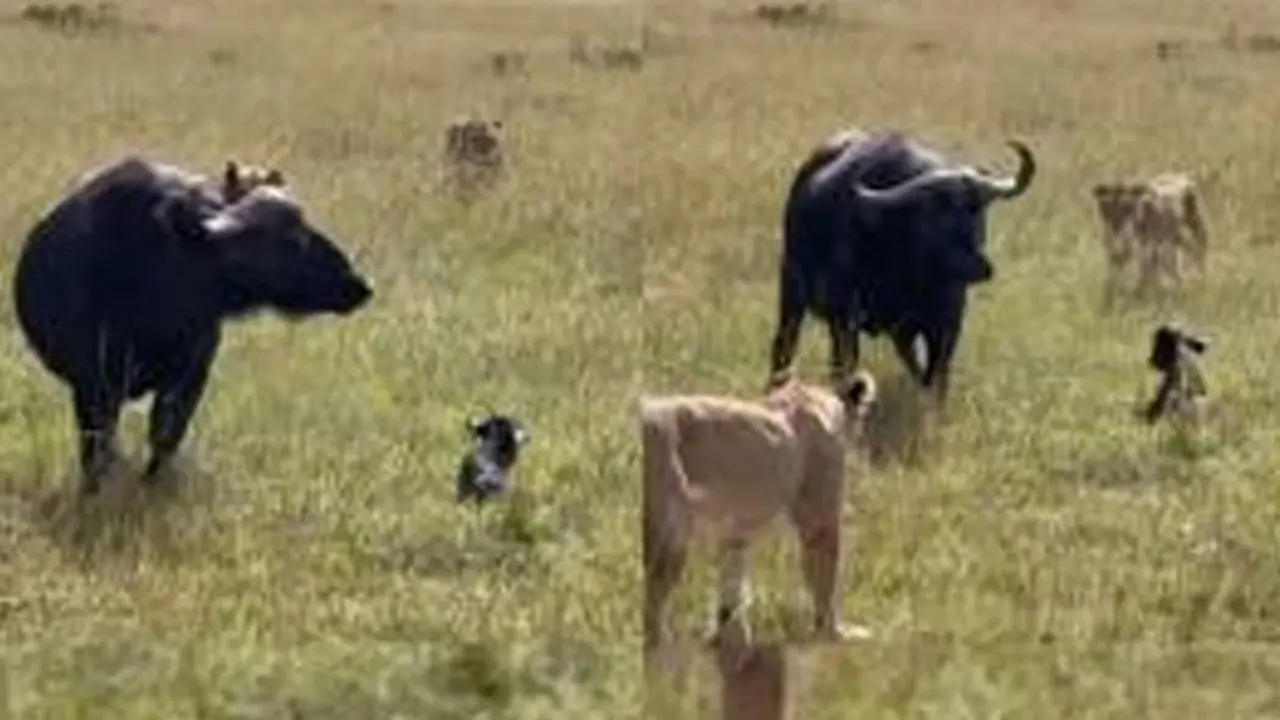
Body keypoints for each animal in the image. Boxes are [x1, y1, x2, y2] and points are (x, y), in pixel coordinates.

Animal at [13, 155, 374, 495]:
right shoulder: (92, 383)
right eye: (291, 241)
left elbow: (165, 438)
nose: (359, 284)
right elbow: (96, 448)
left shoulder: (191, 375)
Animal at [766, 128, 1036, 405]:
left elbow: (937, 375)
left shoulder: (946, 324)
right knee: (784, 345)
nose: (979, 267)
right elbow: (844, 367)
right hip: (791, 289)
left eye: (978, 212)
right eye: (933, 217)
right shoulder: (844, 319)